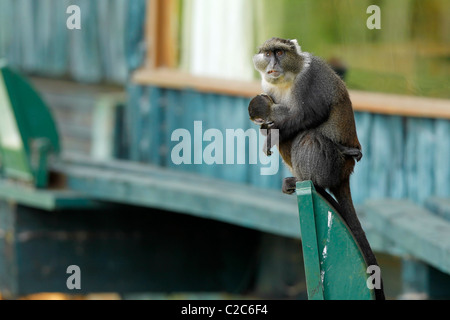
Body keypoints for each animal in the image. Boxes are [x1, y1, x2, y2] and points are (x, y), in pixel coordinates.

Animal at [248, 37, 384, 300]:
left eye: (280, 53)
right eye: (268, 53)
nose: (273, 64)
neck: (288, 77)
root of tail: (346, 173)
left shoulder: (309, 80)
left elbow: (310, 114)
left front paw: (269, 135)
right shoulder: (268, 89)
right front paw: (265, 130)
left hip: (334, 164)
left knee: (307, 136)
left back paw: (314, 179)